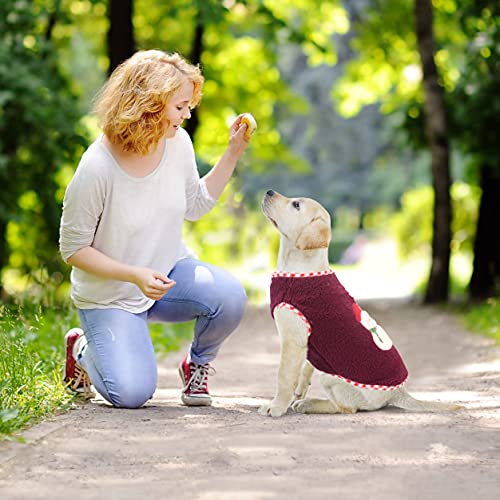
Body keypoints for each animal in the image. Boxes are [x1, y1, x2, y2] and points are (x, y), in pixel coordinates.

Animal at [260, 191, 462, 418]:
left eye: (296, 205)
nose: (269, 191)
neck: (299, 267)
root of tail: (397, 393)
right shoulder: (309, 345)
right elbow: (305, 368)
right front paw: (299, 390)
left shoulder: (292, 341)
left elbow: (283, 377)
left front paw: (276, 406)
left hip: (330, 376)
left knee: (346, 408)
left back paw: (310, 404)